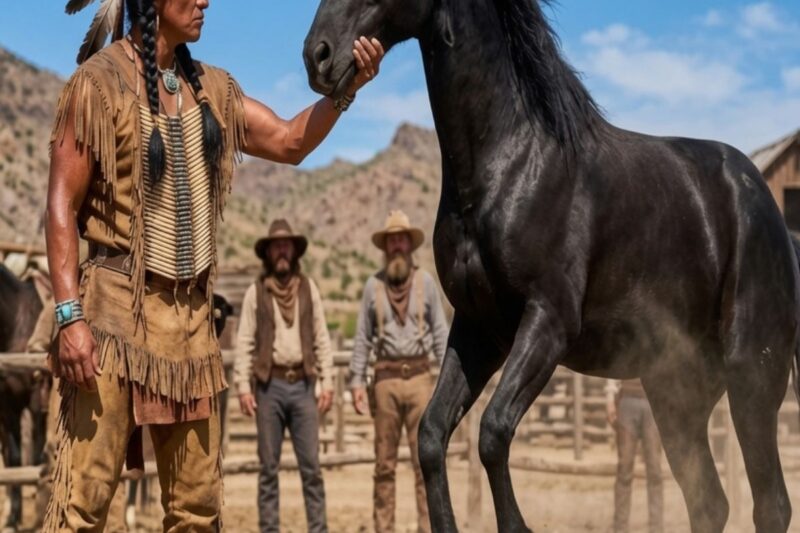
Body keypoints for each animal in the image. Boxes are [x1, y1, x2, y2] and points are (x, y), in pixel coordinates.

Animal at [303, 1, 800, 531]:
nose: (318, 56)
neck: (511, 162)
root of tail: (768, 210)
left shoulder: (548, 323)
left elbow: (493, 433)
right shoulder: (479, 330)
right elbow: (432, 435)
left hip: (751, 377)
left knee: (770, 503)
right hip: (676, 393)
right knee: (709, 500)